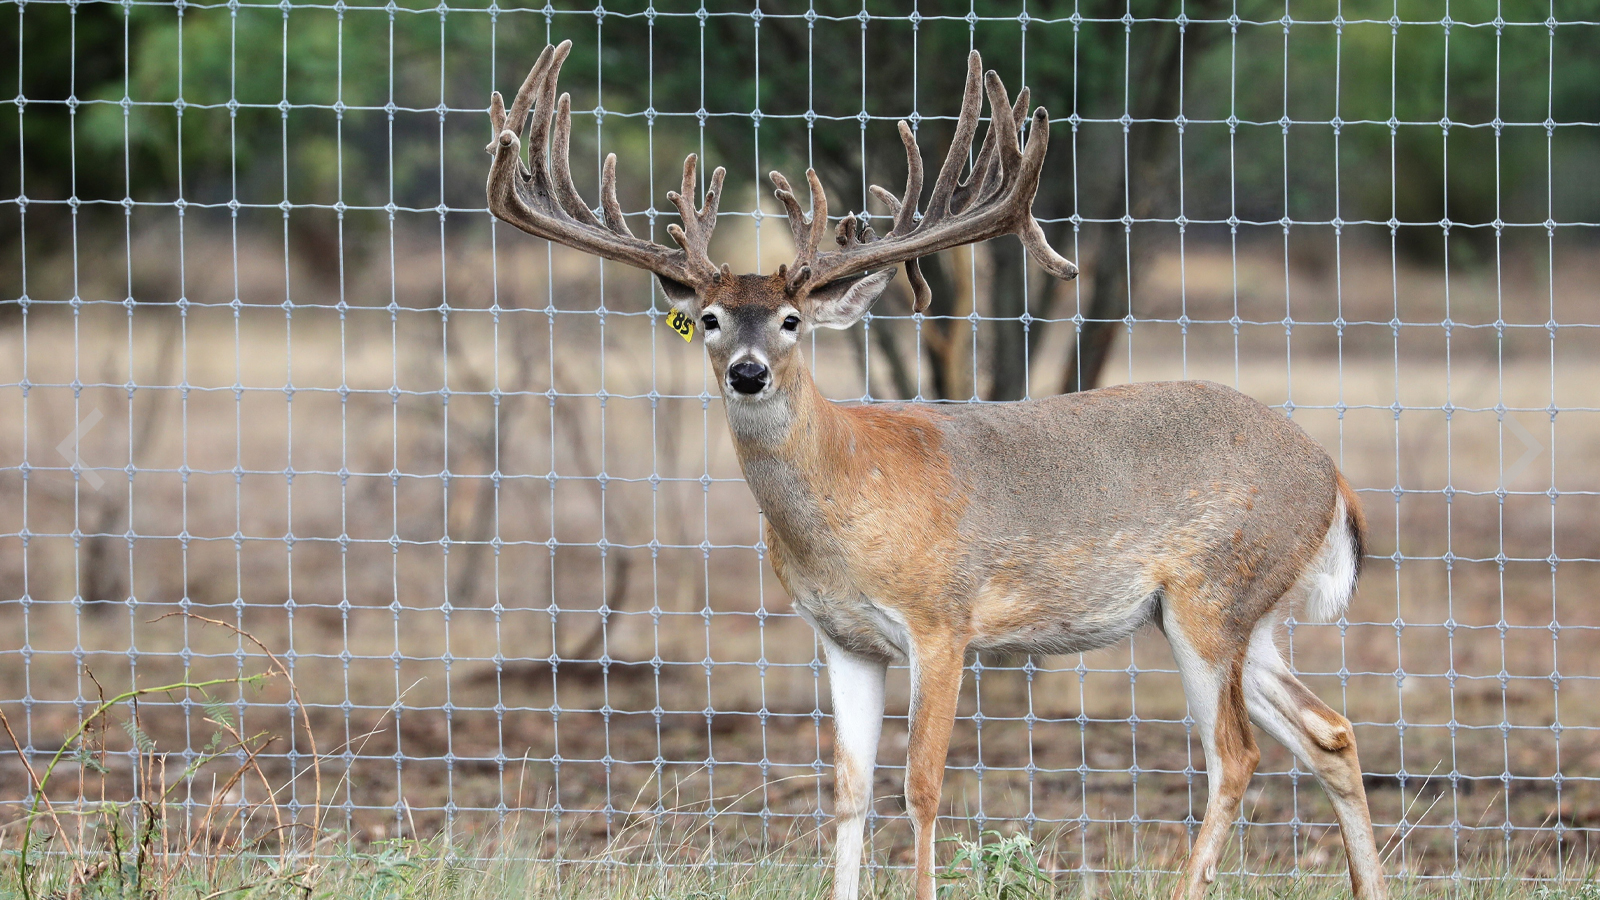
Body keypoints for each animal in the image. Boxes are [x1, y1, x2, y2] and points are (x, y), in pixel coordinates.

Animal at [486, 38, 1388, 890]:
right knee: (1331, 731)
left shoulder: (942, 622)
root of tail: (1333, 478)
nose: (748, 372)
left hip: (1212, 594)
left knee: (1235, 755)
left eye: (789, 320)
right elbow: (849, 790)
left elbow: (921, 786)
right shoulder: (842, 639)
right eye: (708, 318)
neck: (846, 496)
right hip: (1240, 618)